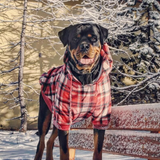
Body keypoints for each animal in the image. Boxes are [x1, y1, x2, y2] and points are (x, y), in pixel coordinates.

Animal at [34, 23, 113, 160]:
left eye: (94, 38)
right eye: (76, 38)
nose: (84, 45)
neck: (85, 78)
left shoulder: (101, 117)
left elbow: (98, 150)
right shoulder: (63, 117)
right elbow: (64, 150)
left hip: (57, 119)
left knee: (49, 141)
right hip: (45, 116)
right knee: (41, 143)